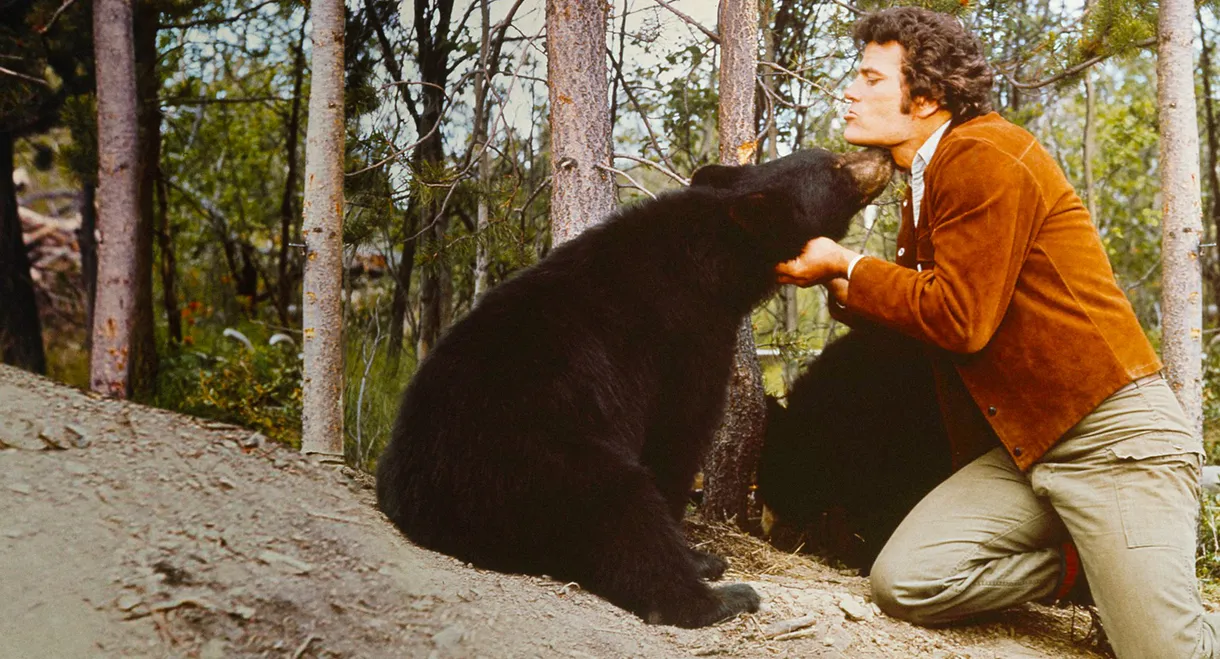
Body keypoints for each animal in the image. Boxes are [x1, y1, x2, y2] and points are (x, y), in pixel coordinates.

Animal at [375, 147, 894, 628]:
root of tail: (426, 512)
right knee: (624, 506)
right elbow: (678, 434)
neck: (714, 255)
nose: (881, 155)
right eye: (834, 167)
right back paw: (725, 597)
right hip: (536, 467)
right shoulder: (686, 336)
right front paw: (698, 555)